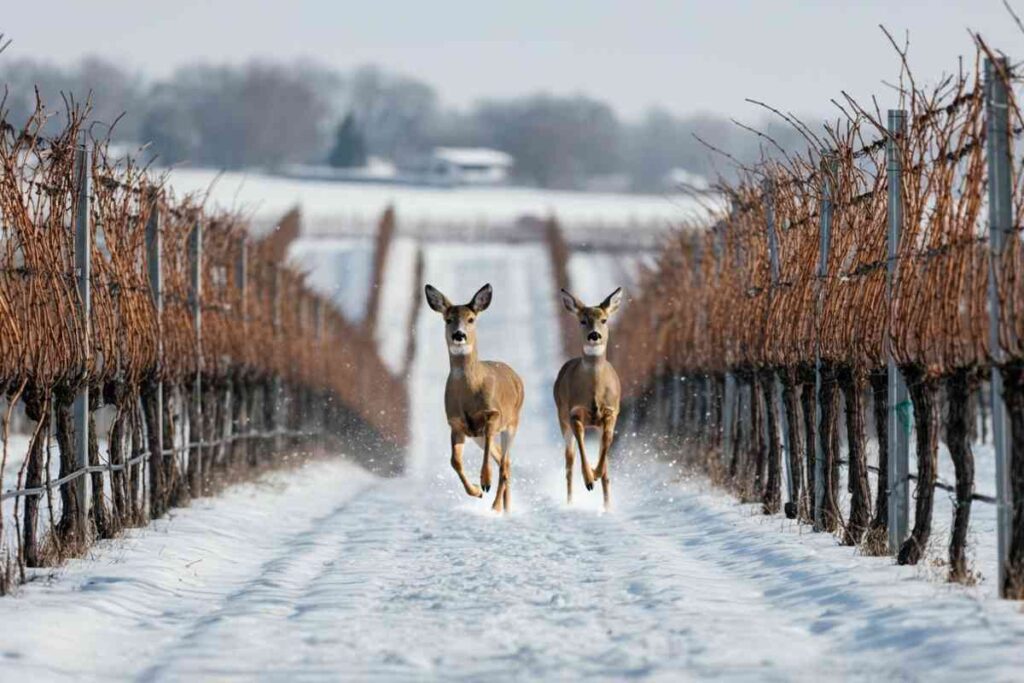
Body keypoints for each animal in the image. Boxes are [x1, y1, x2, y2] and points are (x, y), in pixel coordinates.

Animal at [423, 282, 524, 511]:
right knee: (504, 461)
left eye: (471, 319)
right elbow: (455, 461)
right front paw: (476, 491)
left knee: (504, 464)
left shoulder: (493, 414)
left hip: (512, 423)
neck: (468, 392)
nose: (459, 335)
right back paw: (504, 508)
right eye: (448, 319)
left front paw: (484, 482)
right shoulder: (456, 424)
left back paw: (497, 507)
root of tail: (516, 376)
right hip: (478, 435)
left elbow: (488, 452)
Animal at [552, 286, 622, 509]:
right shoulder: (574, 413)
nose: (594, 335)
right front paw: (589, 478)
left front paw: (596, 472)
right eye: (583, 320)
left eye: (604, 320)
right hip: (562, 418)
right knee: (569, 462)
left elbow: (607, 444)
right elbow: (581, 444)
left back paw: (607, 506)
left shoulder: (611, 412)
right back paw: (570, 501)